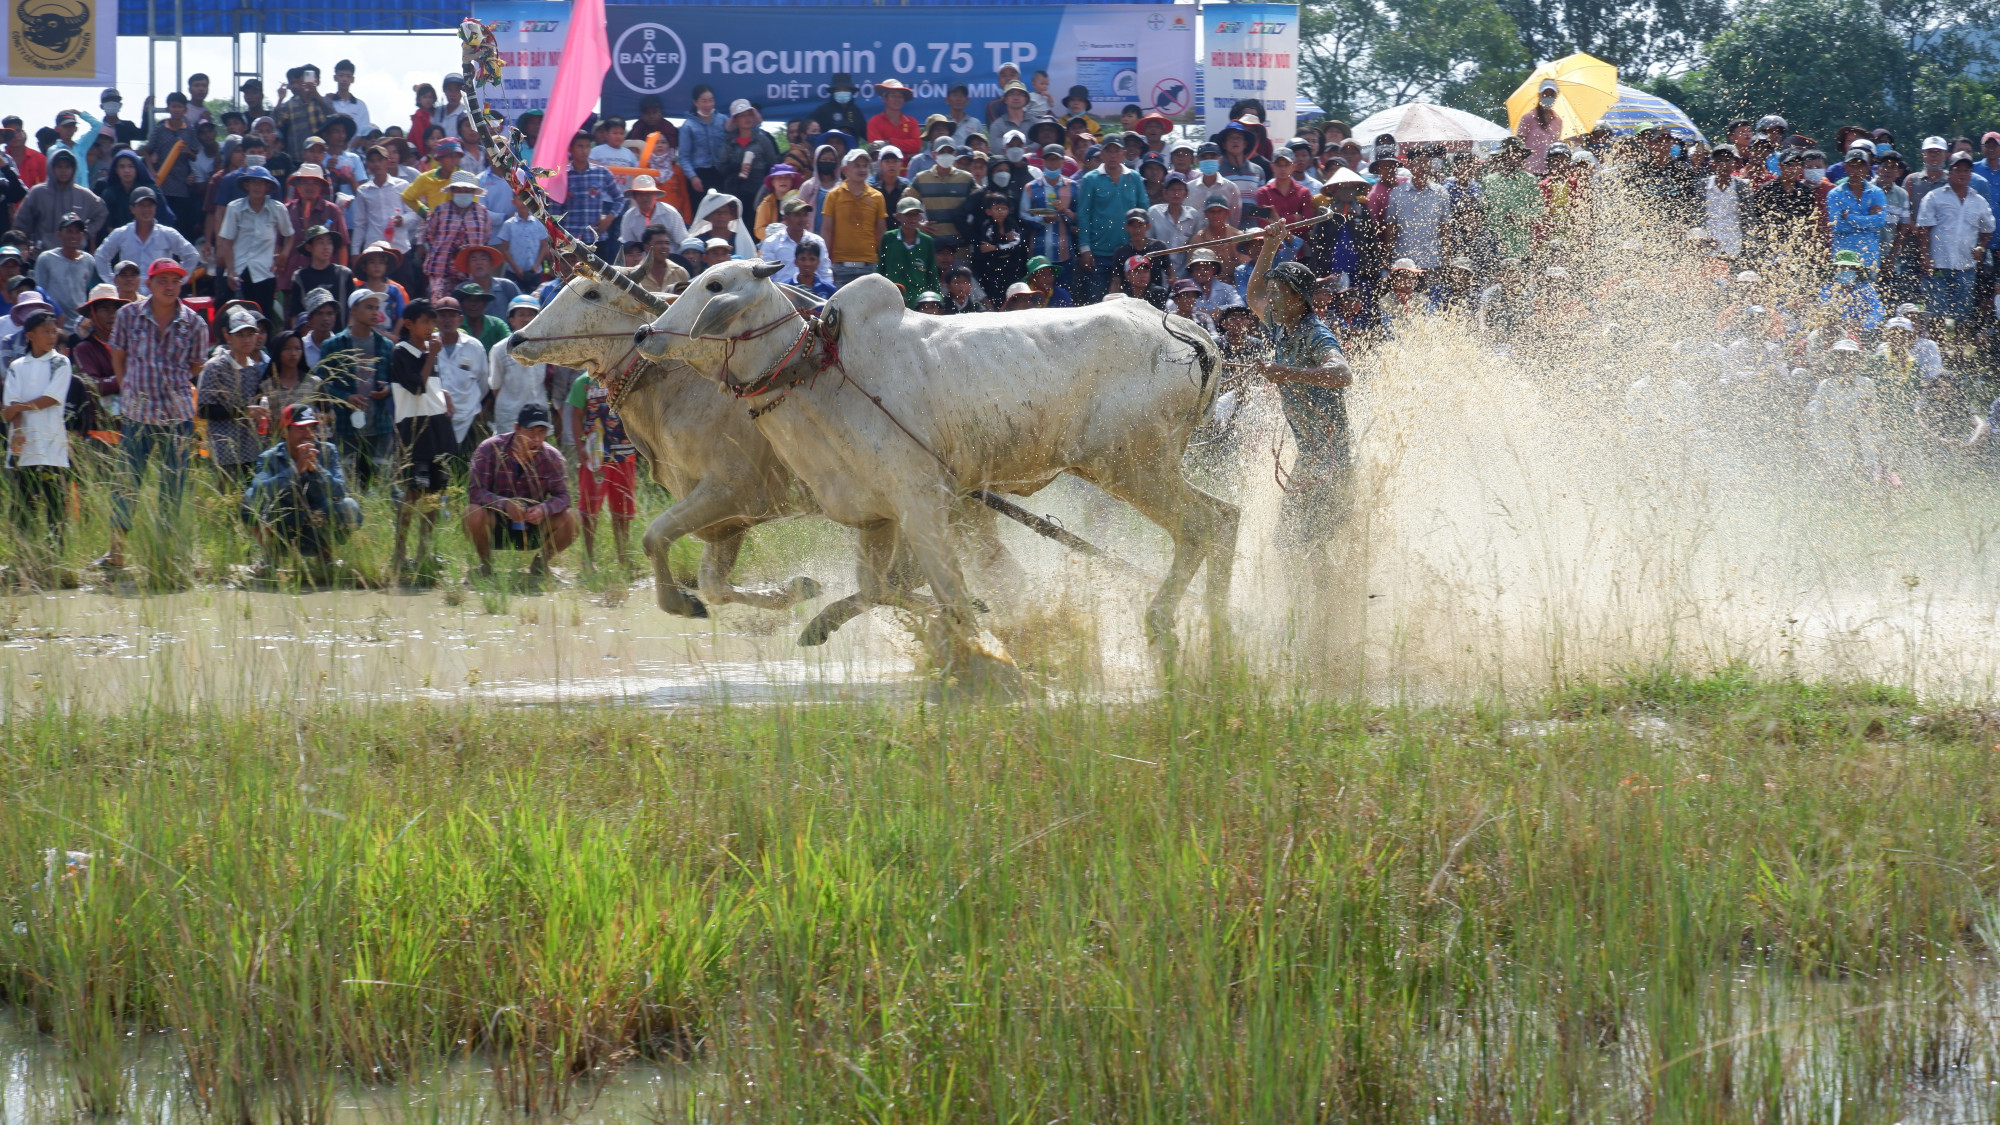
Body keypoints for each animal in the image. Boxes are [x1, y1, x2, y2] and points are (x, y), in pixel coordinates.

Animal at [640, 262, 1232, 680]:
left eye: (716, 284)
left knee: (1203, 524)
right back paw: (1217, 626)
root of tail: (1185, 330)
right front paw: (818, 624)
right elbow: (881, 588)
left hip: (1132, 468)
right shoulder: (876, 516)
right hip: (1141, 469)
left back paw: (1169, 625)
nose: (646, 333)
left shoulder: (922, 504)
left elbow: (950, 597)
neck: (819, 373)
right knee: (1224, 517)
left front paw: (993, 663)